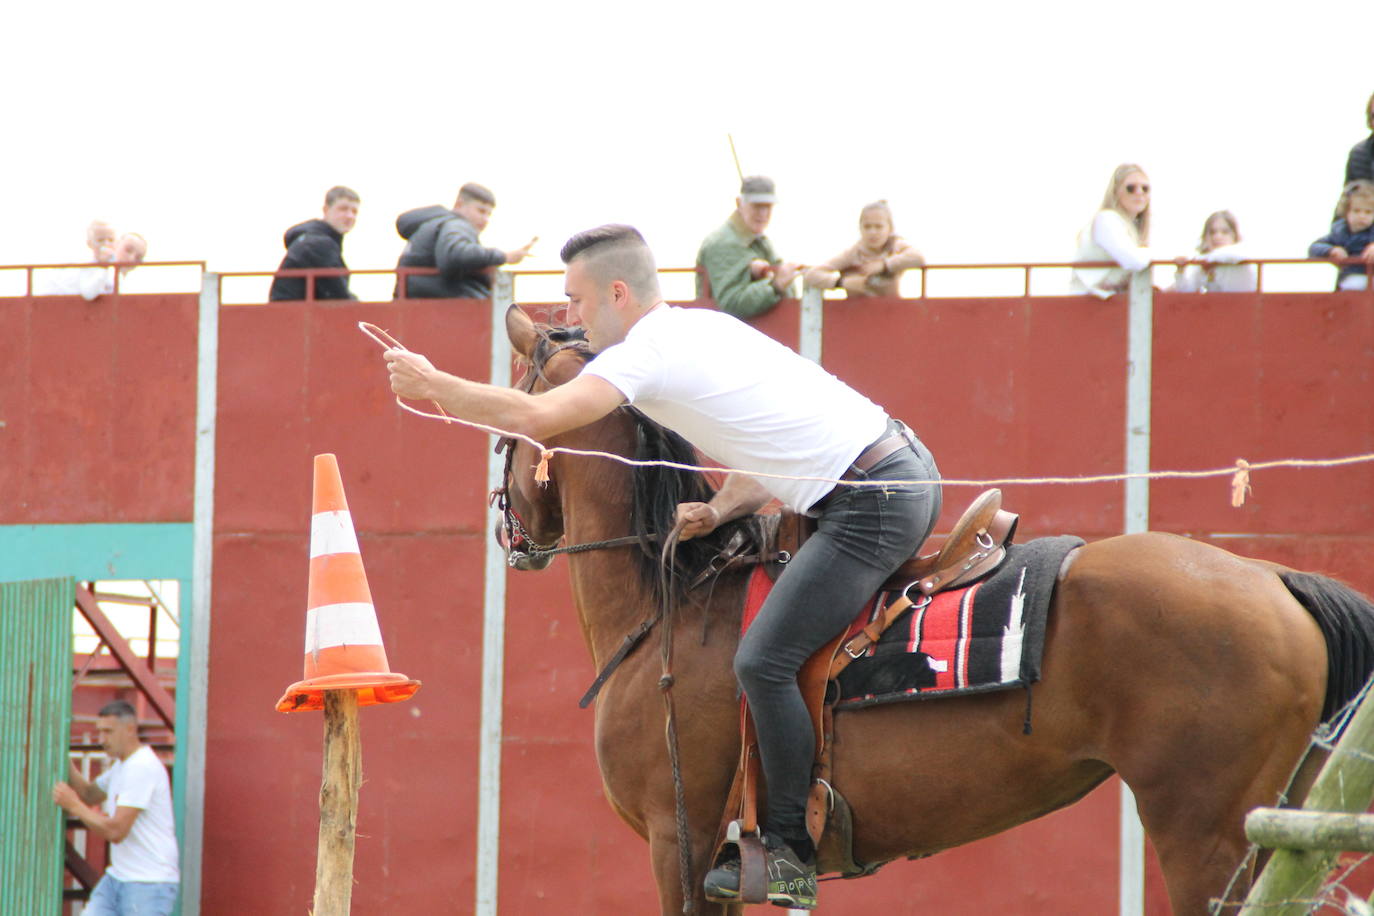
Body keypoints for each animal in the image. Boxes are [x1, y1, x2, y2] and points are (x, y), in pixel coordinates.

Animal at [500, 310, 1374, 916]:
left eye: (511, 412)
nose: (512, 531)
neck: (670, 609)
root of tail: (1272, 576)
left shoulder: (677, 845)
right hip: (1273, 832)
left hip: (1205, 835)